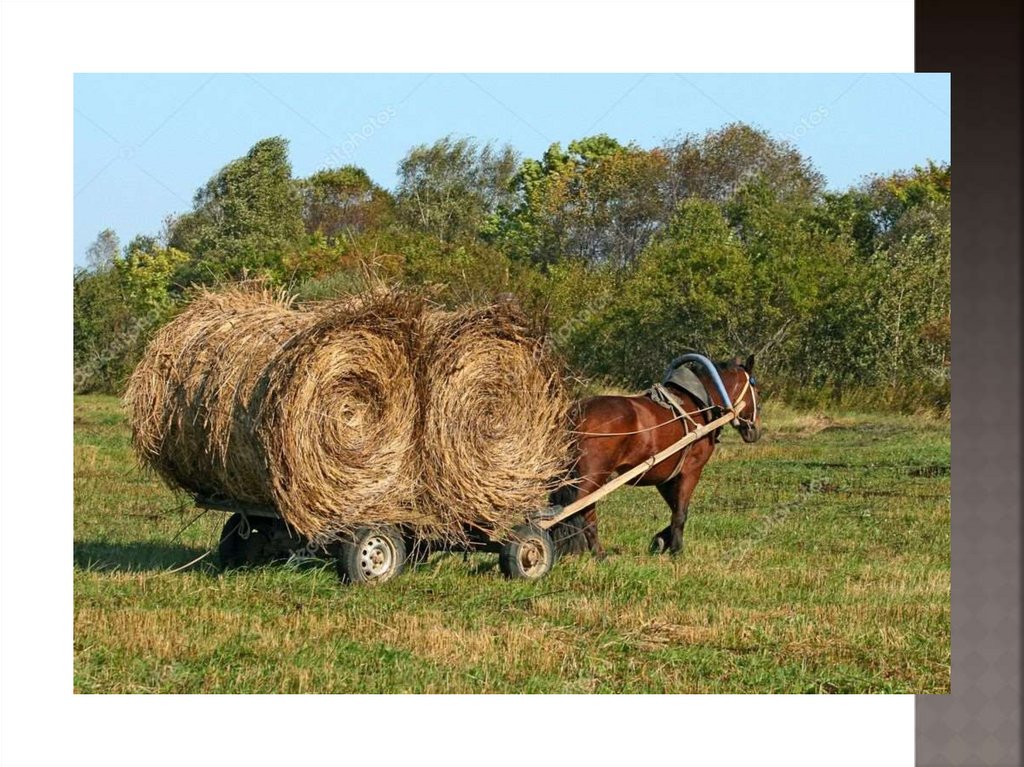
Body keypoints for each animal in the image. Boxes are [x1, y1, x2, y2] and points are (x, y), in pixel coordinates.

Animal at [554, 354, 761, 559]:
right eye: (758, 394)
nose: (756, 431)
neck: (699, 404)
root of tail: (577, 413)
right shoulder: (691, 471)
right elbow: (681, 513)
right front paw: (676, 550)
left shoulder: (665, 477)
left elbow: (675, 509)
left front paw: (661, 540)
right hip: (592, 477)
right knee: (577, 510)